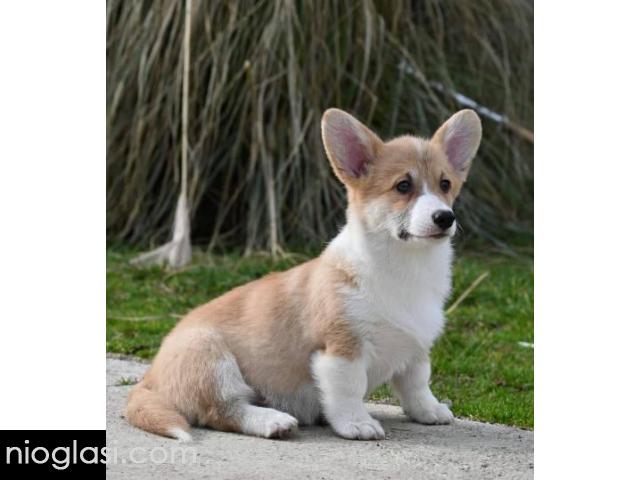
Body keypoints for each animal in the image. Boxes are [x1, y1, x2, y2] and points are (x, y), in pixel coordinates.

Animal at [125, 108, 482, 441]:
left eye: (445, 184)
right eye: (403, 186)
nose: (445, 217)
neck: (406, 266)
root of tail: (150, 379)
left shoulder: (416, 347)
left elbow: (417, 382)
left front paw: (429, 411)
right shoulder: (341, 350)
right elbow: (349, 389)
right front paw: (358, 424)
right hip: (212, 358)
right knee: (224, 410)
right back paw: (273, 420)